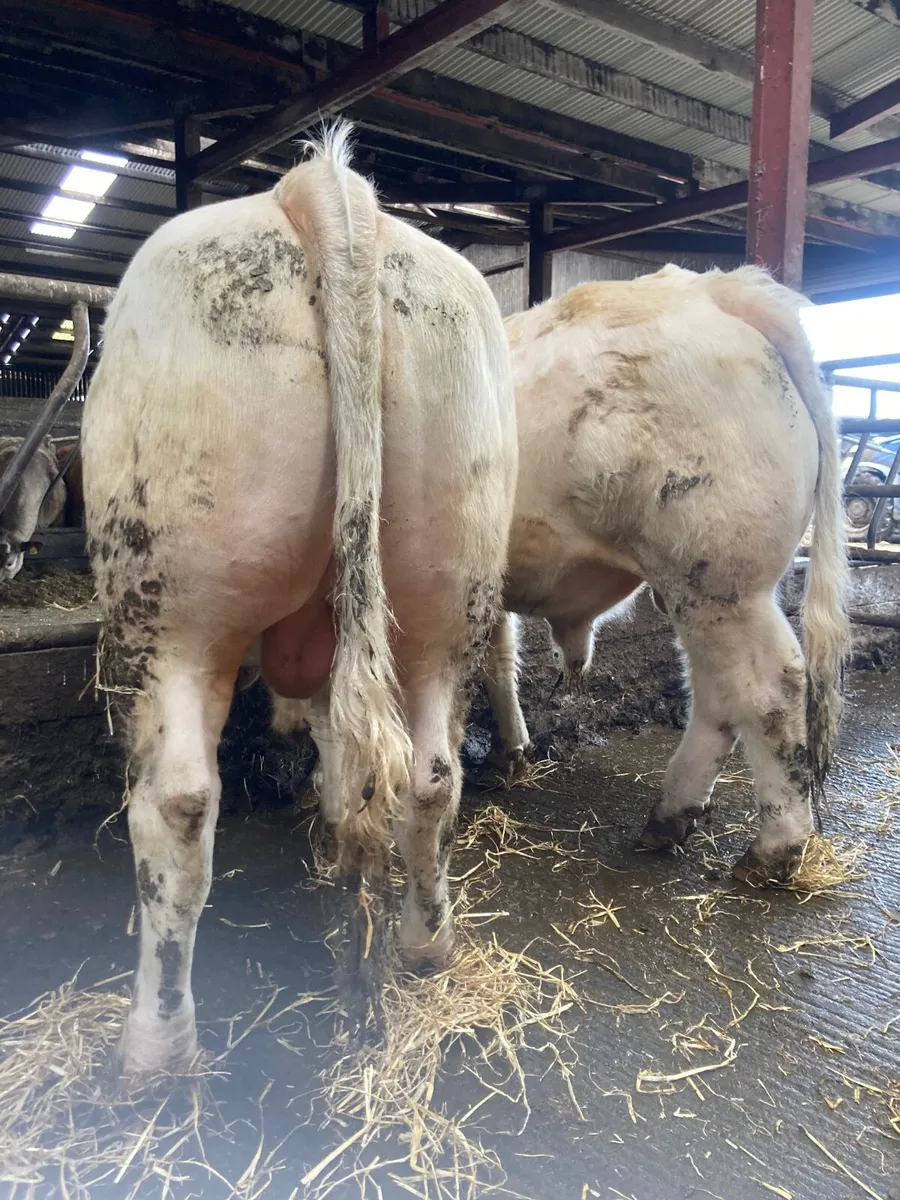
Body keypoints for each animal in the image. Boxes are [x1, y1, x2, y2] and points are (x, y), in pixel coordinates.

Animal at [81, 125, 517, 1079]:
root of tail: (323, 189)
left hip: (172, 605)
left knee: (177, 803)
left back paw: (155, 1049)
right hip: (447, 587)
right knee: (430, 774)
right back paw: (425, 946)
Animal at [294, 264, 848, 888]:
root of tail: (723, 289)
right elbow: (497, 658)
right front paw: (508, 752)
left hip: (721, 583)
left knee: (767, 688)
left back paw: (773, 848)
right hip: (700, 593)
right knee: (716, 692)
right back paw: (671, 816)